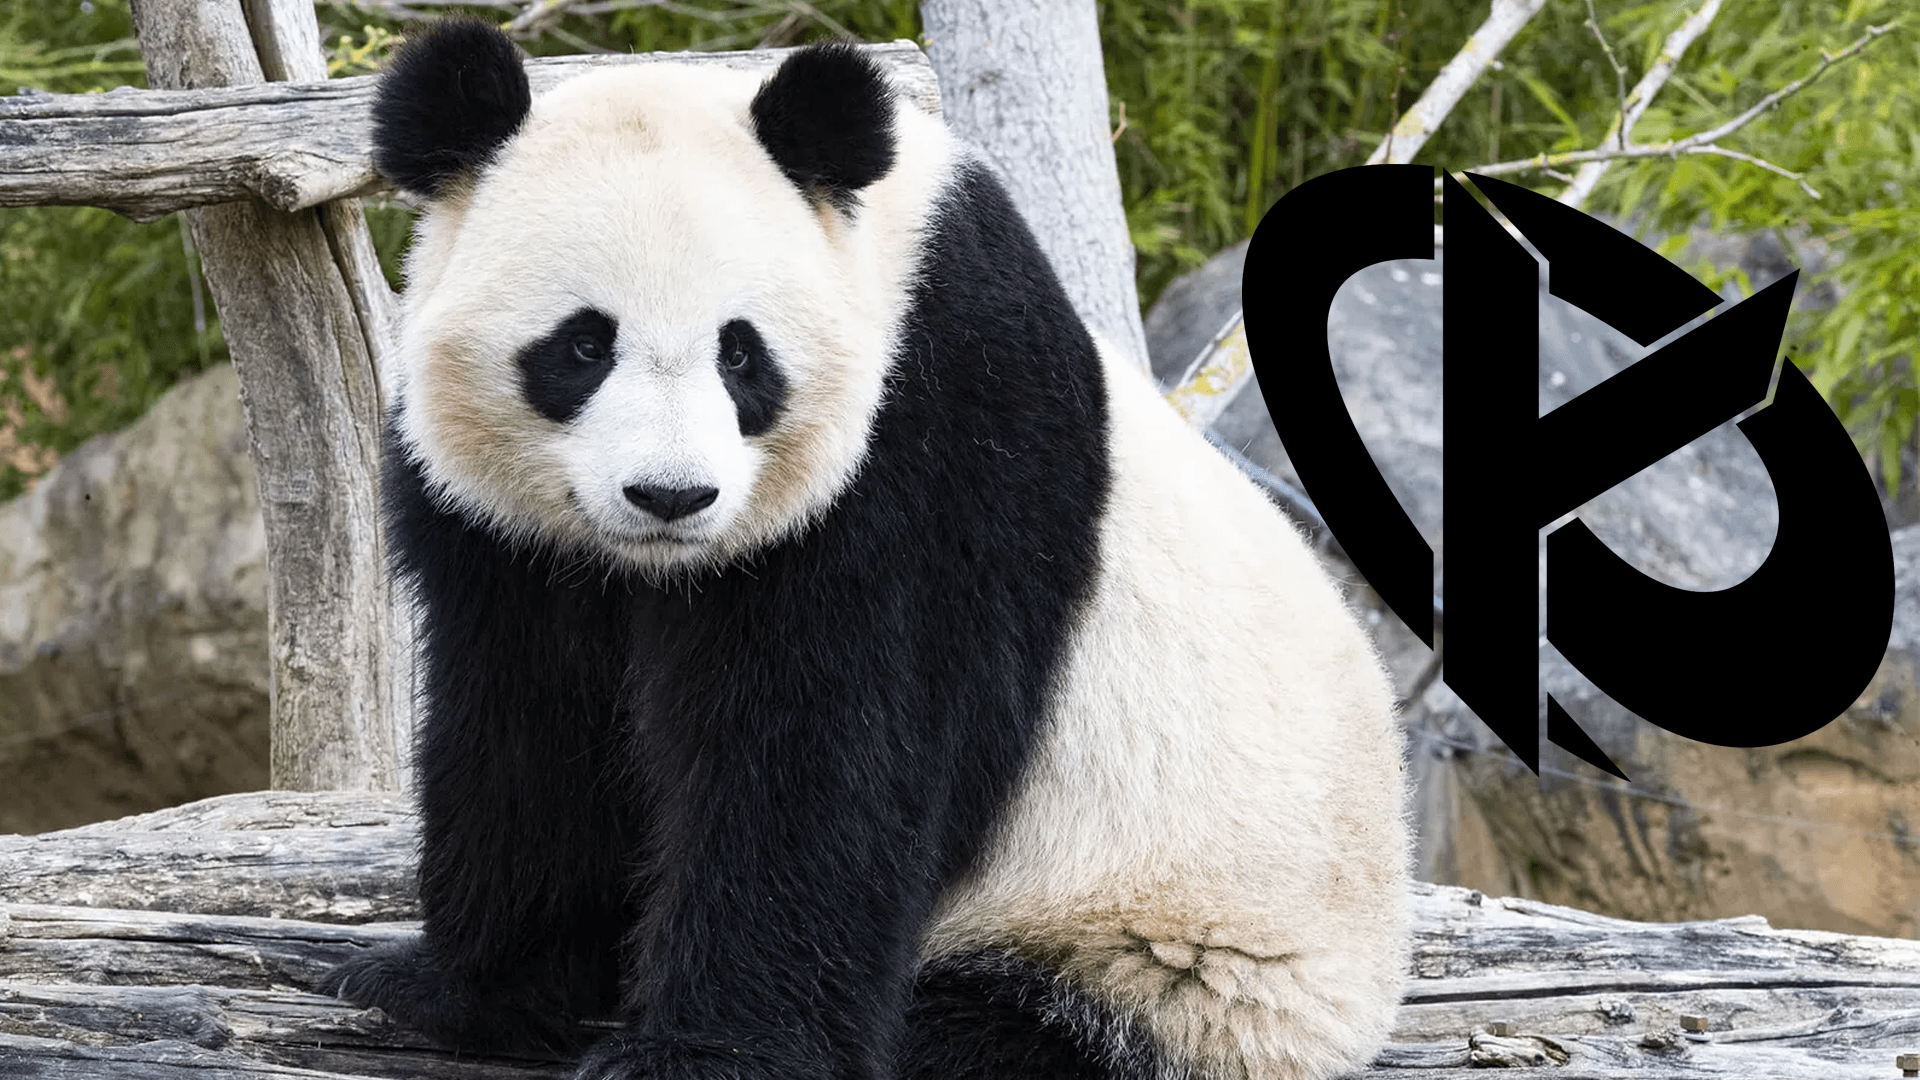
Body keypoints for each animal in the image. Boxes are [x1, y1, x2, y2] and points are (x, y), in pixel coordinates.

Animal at [318, 17, 1412, 1080]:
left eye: (741, 353)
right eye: (583, 346)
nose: (671, 496)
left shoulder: (935, 440)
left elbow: (833, 743)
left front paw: (707, 1054)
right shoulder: (510, 541)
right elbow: (530, 720)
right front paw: (461, 991)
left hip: (1171, 953)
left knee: (1029, 1024)